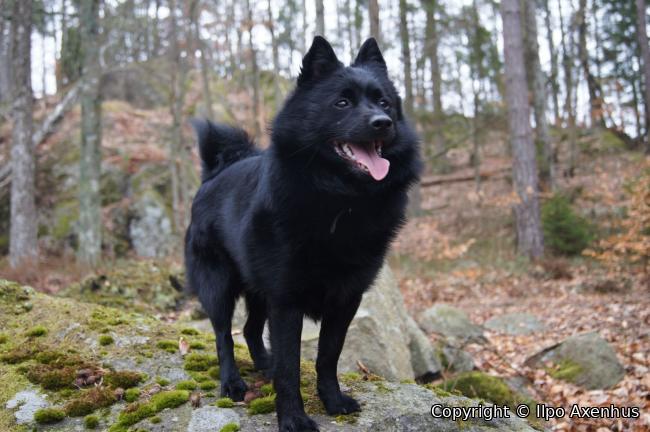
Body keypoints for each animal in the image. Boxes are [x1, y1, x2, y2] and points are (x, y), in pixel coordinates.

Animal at [185, 36, 421, 431]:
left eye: (384, 102)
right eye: (342, 102)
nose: (382, 123)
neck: (342, 204)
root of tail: (215, 173)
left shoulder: (345, 299)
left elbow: (328, 355)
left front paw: (333, 400)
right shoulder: (286, 300)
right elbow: (290, 368)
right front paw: (293, 418)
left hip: (257, 289)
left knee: (250, 330)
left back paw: (263, 365)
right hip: (219, 284)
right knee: (223, 335)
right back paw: (232, 383)